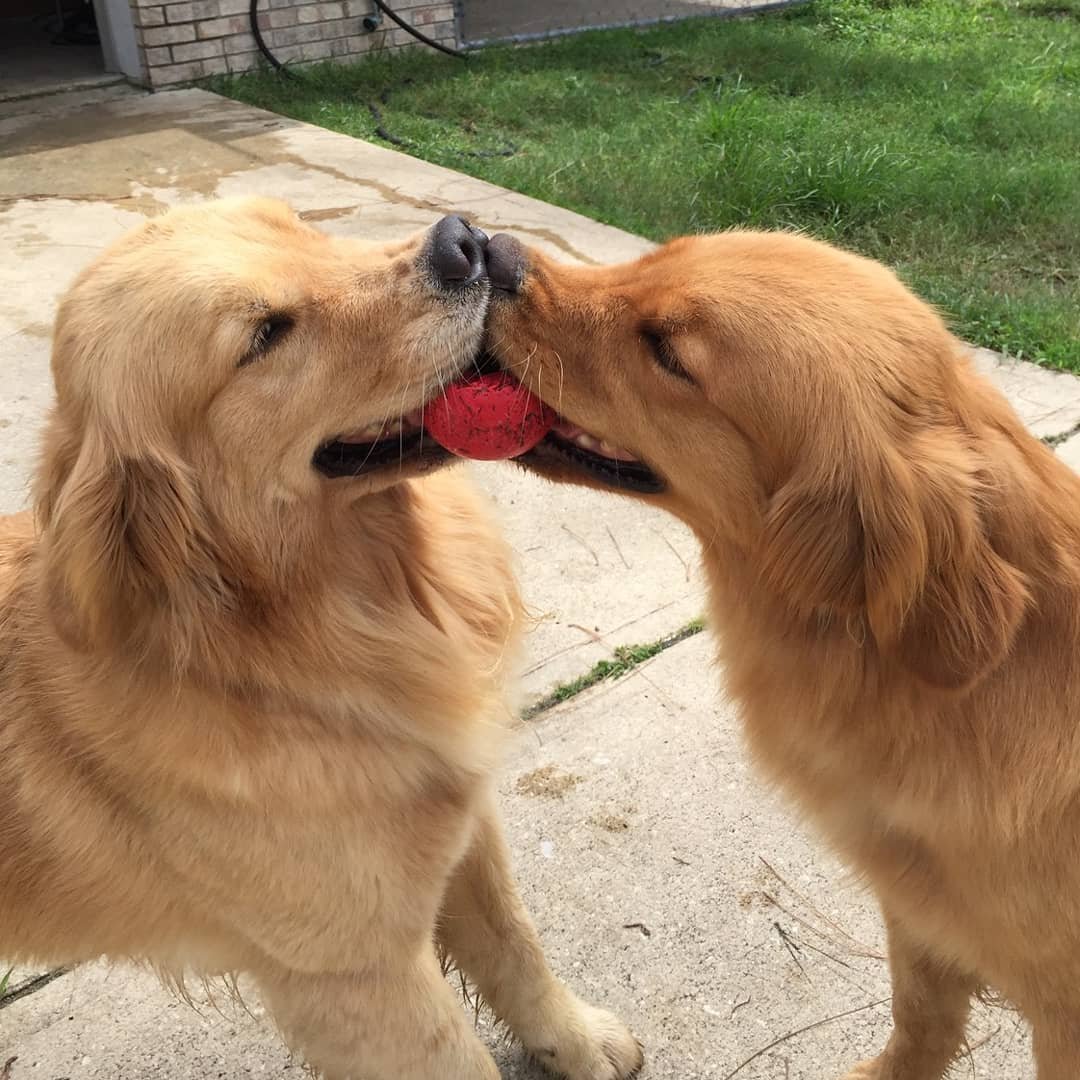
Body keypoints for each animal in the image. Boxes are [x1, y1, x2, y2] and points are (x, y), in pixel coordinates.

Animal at [0, 200, 639, 1080]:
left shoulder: (460, 826)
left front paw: (577, 1041)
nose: (463, 243)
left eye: (297, 225)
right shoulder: (356, 972)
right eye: (265, 335)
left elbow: (518, 945)